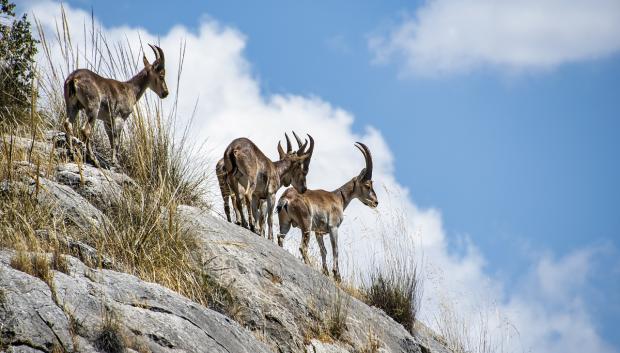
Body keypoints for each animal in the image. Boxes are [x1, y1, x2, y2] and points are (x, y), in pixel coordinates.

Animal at [278, 142, 378, 282]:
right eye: (367, 185)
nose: (375, 202)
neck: (338, 197)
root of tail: (287, 198)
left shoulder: (318, 232)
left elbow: (324, 250)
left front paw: (326, 272)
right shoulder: (333, 227)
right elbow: (335, 249)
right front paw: (336, 275)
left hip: (285, 223)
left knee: (280, 238)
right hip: (306, 224)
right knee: (302, 247)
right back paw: (309, 265)